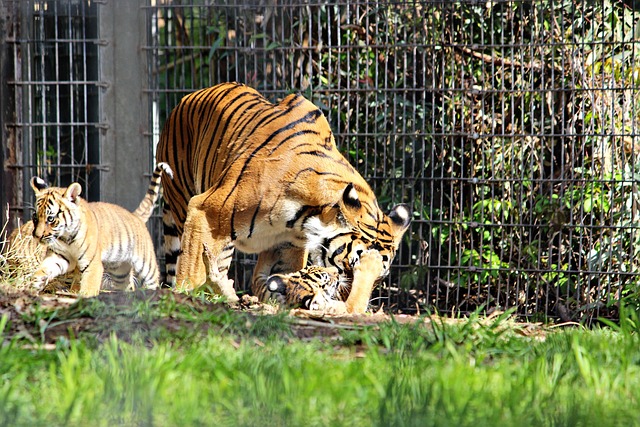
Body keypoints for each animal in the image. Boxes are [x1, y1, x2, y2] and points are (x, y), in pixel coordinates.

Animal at [29, 162, 172, 296]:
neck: (66, 236)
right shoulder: (60, 256)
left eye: (50, 219)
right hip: (119, 270)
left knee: (153, 281)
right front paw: (36, 282)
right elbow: (45, 267)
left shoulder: (92, 263)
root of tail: (135, 215)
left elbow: (89, 284)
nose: (37, 236)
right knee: (127, 285)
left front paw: (84, 297)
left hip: (146, 265)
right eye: (35, 217)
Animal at [158, 82, 412, 314]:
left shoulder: (287, 245)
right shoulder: (205, 210)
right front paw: (185, 298)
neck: (304, 218)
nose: (347, 304)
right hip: (185, 204)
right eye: (348, 267)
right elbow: (191, 268)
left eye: (381, 279)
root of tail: (184, 99)